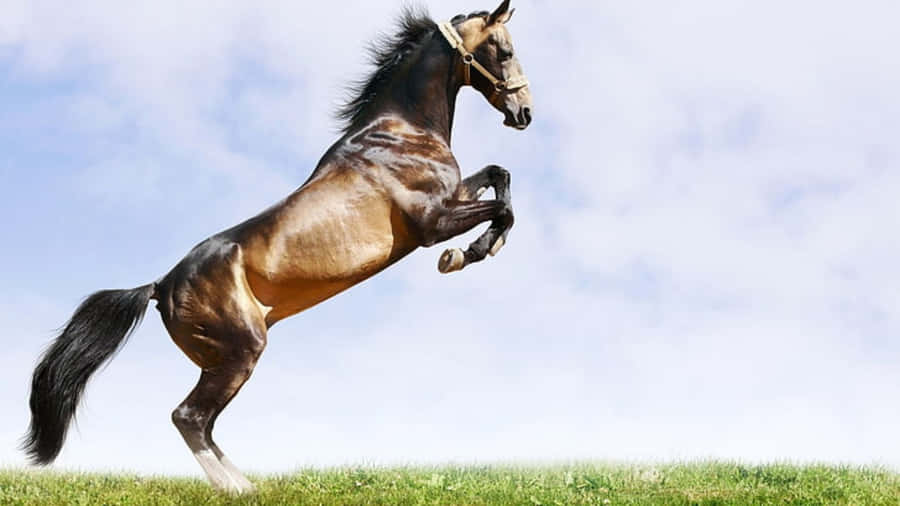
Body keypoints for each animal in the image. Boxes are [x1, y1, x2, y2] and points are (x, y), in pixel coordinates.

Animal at [21, 0, 532, 490]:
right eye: (505, 51)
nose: (524, 113)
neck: (401, 132)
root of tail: (160, 286)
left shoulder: (454, 196)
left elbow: (500, 176)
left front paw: (478, 247)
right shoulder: (432, 223)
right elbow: (502, 210)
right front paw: (465, 255)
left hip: (219, 360)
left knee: (203, 422)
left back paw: (247, 485)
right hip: (241, 351)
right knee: (189, 417)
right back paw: (235, 489)